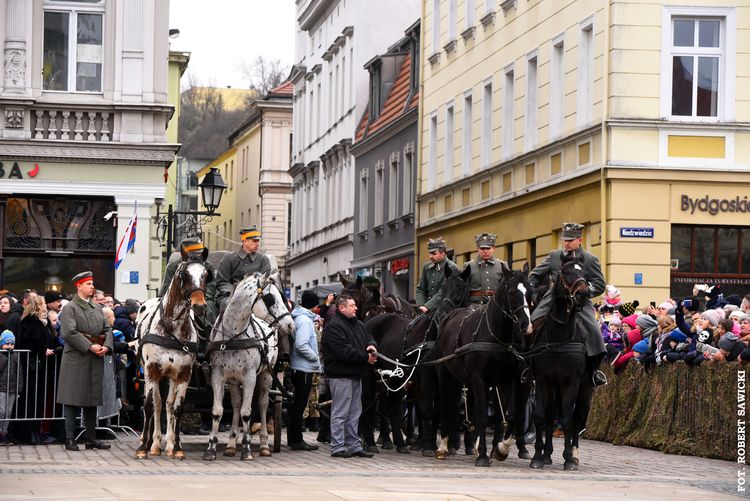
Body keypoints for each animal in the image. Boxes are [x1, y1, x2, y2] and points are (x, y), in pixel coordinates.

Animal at [134, 258, 210, 458]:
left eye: (206, 274)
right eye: (184, 274)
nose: (199, 306)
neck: (172, 330)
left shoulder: (184, 373)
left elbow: (177, 408)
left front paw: (176, 448)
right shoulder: (152, 370)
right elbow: (150, 406)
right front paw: (143, 448)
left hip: (171, 377)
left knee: (167, 404)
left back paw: (167, 444)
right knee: (156, 404)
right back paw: (151, 443)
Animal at [203, 272, 296, 458]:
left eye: (282, 296)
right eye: (270, 298)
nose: (291, 325)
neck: (233, 337)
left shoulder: (250, 377)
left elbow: (247, 413)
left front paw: (246, 449)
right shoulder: (218, 376)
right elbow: (218, 411)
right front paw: (211, 448)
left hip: (267, 375)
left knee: (262, 404)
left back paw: (264, 444)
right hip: (233, 381)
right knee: (236, 404)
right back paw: (231, 444)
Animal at [362, 266, 470, 454]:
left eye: (460, 288)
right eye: (443, 288)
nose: (442, 315)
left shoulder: (448, 378)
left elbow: (443, 409)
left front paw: (441, 443)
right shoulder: (426, 375)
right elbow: (427, 409)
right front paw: (427, 444)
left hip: (396, 377)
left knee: (392, 406)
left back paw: (399, 442)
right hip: (372, 375)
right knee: (370, 404)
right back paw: (370, 442)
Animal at [434, 264, 536, 466]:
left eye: (530, 292)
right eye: (512, 292)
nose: (526, 326)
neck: (495, 335)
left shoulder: (508, 379)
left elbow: (512, 414)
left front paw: (501, 449)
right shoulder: (479, 379)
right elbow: (481, 416)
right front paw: (482, 454)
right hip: (445, 373)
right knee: (446, 404)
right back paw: (444, 446)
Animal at [528, 252, 592, 470]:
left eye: (586, 274)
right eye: (565, 271)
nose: (582, 294)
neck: (560, 337)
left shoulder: (572, 383)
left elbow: (567, 419)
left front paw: (568, 458)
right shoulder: (542, 381)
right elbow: (540, 415)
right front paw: (537, 456)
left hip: (585, 387)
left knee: (578, 417)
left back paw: (575, 454)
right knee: (549, 416)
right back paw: (547, 454)